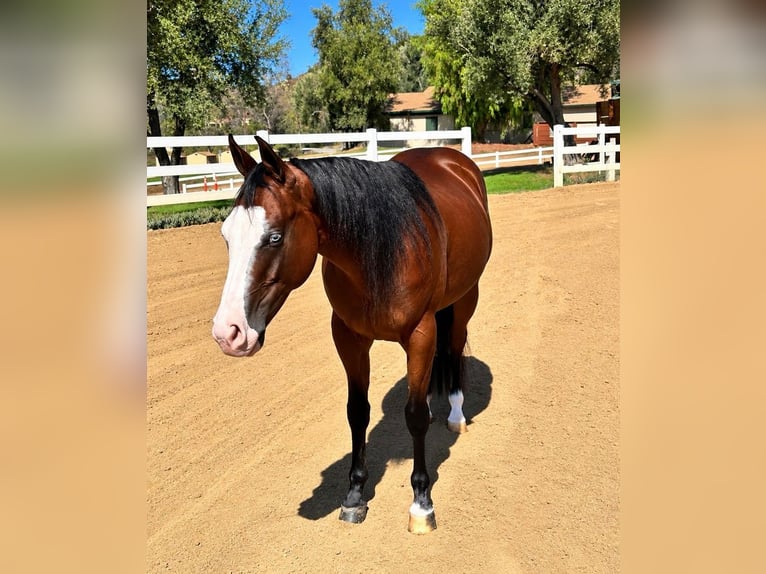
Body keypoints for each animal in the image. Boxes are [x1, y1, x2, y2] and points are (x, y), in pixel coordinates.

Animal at [212, 135, 492, 533]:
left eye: (274, 237)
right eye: (226, 236)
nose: (228, 332)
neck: (380, 248)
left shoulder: (421, 333)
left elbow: (413, 417)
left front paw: (421, 503)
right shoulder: (348, 337)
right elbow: (357, 412)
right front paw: (355, 496)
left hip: (466, 299)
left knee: (453, 350)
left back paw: (455, 414)